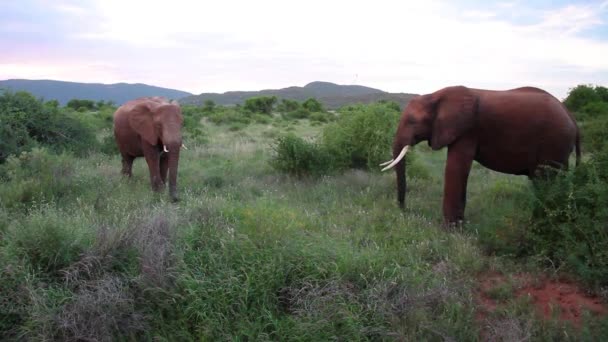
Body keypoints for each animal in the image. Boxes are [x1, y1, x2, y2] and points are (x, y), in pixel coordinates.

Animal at [382, 84, 580, 226]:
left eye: (412, 121)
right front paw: (459, 224)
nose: (403, 209)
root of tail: (572, 118)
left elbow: (456, 168)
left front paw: (450, 229)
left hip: (554, 142)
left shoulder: (468, 130)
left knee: (544, 181)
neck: (435, 95)